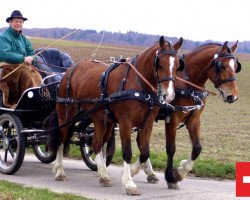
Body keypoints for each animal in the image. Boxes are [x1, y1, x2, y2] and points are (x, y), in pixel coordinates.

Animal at [49, 36, 184, 195]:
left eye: (177, 66)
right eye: (160, 64)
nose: (168, 95)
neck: (140, 86)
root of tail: (70, 70)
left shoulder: (147, 124)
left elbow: (145, 152)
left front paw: (133, 172)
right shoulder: (125, 123)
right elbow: (127, 152)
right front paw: (129, 183)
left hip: (102, 119)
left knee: (97, 143)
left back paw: (103, 174)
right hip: (66, 116)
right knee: (62, 140)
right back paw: (60, 171)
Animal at [129, 40, 240, 189]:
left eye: (236, 66)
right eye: (222, 66)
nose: (232, 96)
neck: (189, 84)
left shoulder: (194, 119)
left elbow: (197, 148)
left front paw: (180, 172)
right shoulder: (172, 119)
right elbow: (171, 148)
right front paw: (171, 177)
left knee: (141, 142)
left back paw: (150, 173)